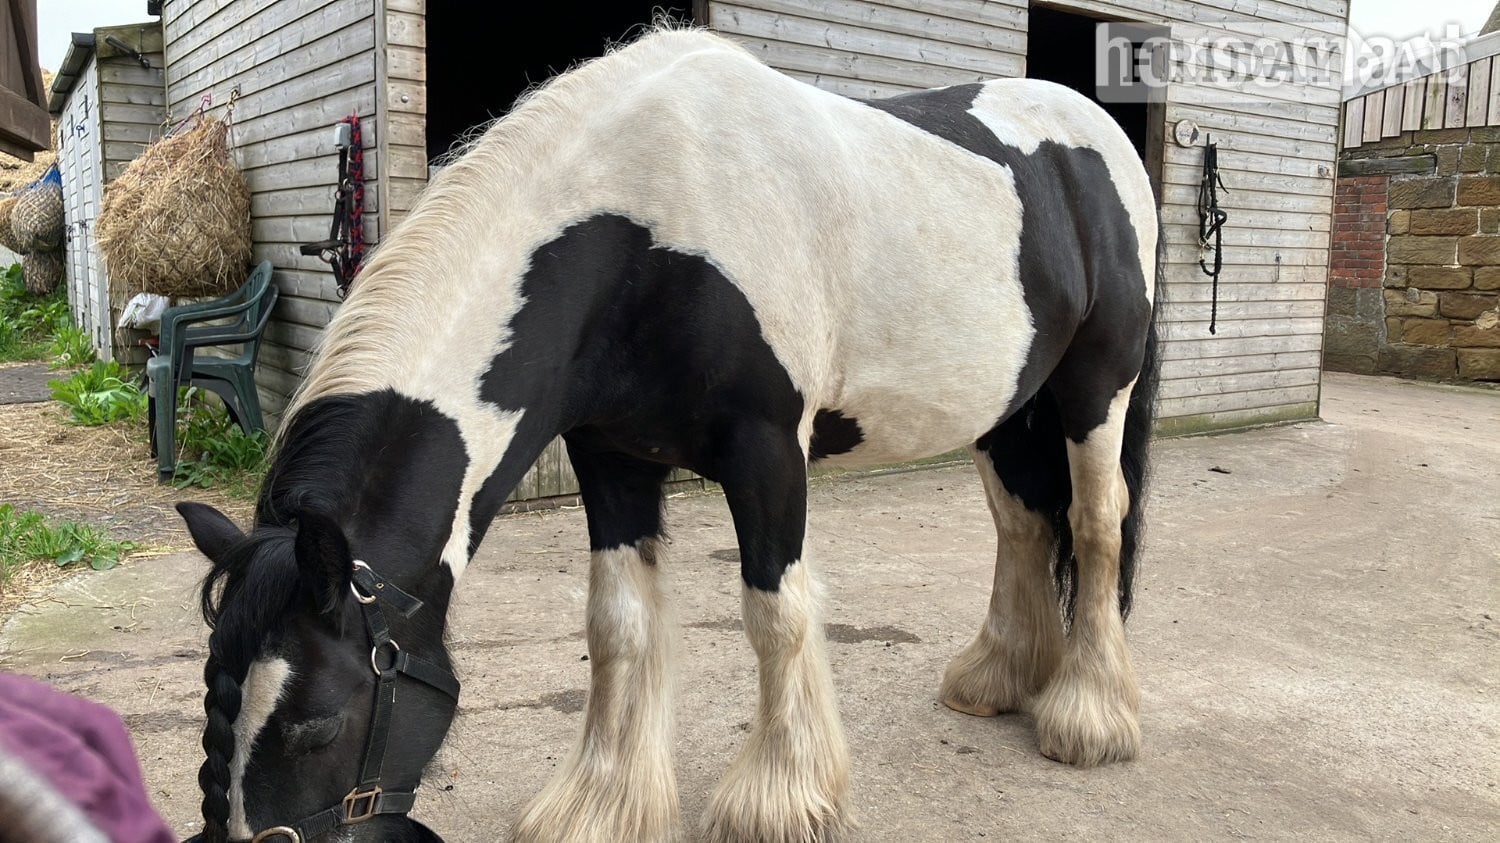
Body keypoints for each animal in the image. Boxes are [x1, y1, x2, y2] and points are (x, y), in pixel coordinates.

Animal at [178, 26, 1159, 843]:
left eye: (315, 722)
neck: (646, 230)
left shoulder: (768, 452)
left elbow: (775, 612)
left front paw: (782, 800)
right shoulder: (612, 458)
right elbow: (617, 623)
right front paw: (601, 806)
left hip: (1093, 390)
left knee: (1095, 523)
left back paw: (1088, 715)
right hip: (1007, 409)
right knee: (1024, 526)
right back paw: (999, 680)